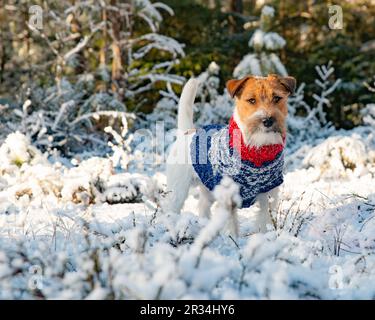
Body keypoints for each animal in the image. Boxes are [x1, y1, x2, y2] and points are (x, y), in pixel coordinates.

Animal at [167, 74, 296, 232]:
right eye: (251, 100)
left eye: (277, 98)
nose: (267, 120)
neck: (256, 149)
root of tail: (186, 132)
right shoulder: (228, 196)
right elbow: (231, 226)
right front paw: (232, 238)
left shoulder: (267, 194)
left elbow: (263, 220)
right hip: (178, 190)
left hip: (208, 189)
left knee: (203, 206)